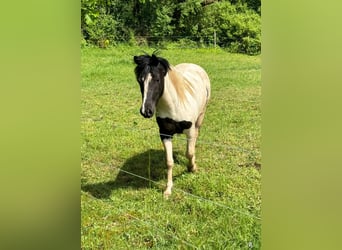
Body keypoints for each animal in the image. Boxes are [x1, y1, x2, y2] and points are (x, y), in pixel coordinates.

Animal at [133, 53, 208, 197]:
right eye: (140, 80)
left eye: (157, 79)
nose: (146, 111)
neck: (174, 105)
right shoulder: (165, 134)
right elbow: (169, 162)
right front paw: (168, 190)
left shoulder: (189, 130)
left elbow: (189, 153)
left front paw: (192, 168)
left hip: (200, 118)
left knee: (195, 137)